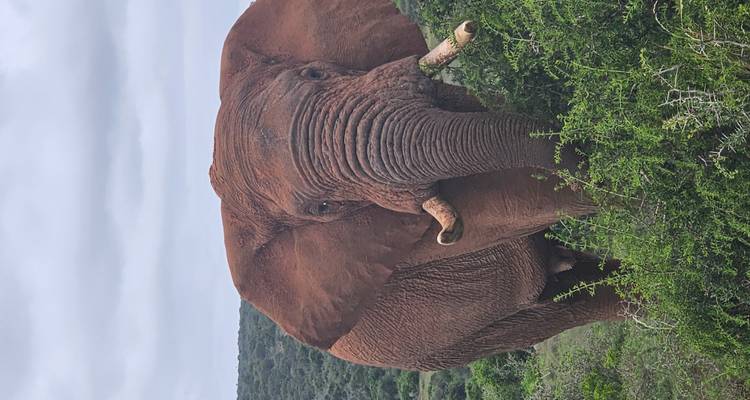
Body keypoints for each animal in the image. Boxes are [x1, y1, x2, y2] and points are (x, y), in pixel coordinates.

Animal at [210, 0, 625, 370]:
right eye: (324, 209)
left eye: (314, 74)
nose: (588, 159)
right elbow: (536, 196)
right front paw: (604, 187)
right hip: (449, 344)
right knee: (557, 307)